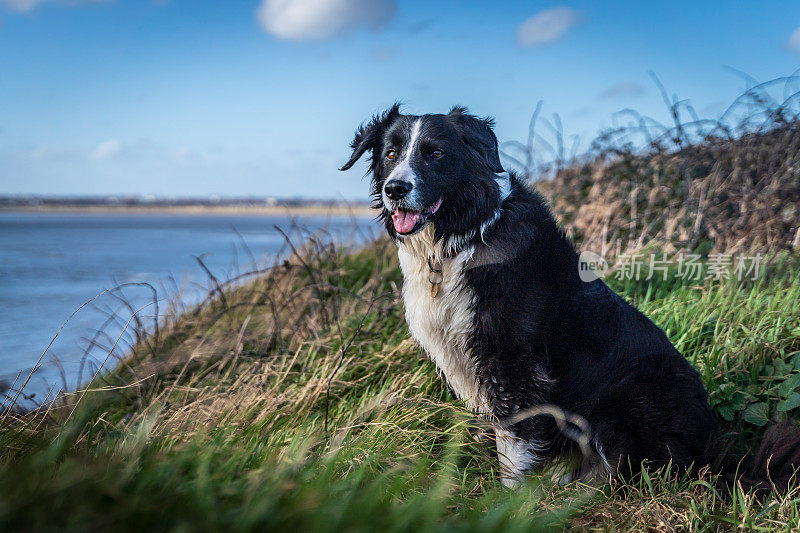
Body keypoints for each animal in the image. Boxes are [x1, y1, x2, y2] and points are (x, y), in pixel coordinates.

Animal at [338, 104, 712, 486]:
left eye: (436, 154)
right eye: (391, 154)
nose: (395, 188)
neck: (460, 238)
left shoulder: (511, 359)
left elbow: (513, 436)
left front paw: (507, 492)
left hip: (632, 397)